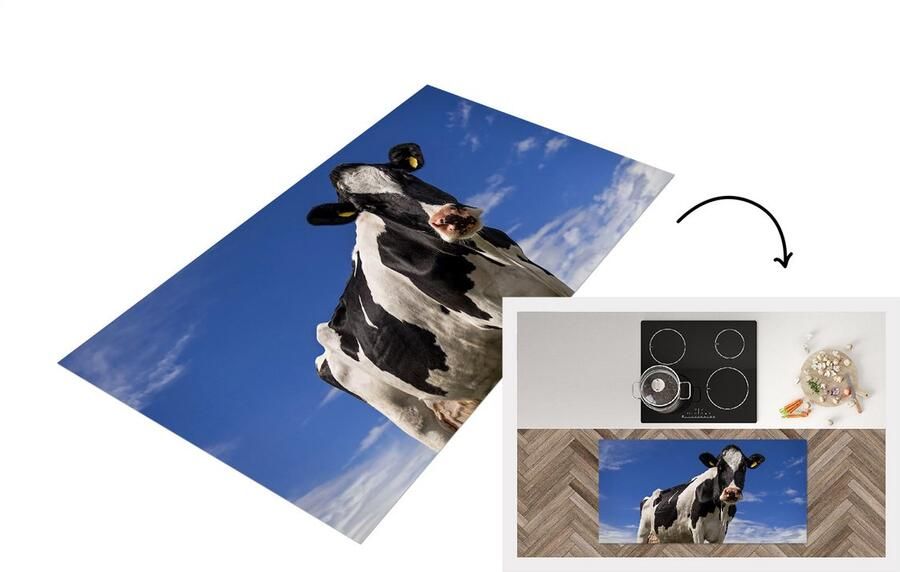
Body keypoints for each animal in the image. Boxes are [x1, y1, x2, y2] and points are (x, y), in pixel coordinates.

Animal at [307, 143, 573, 451]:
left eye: (400, 174)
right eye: (370, 207)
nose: (450, 218)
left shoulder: (541, 279)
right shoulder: (498, 307)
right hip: (410, 415)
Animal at [636, 444, 765, 544]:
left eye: (743, 467)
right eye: (719, 467)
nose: (732, 492)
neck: (720, 510)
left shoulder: (722, 531)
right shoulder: (697, 528)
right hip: (643, 531)